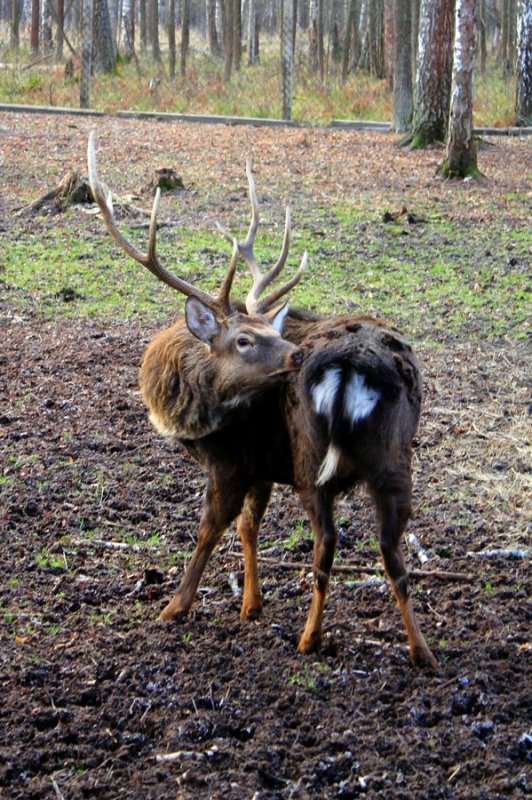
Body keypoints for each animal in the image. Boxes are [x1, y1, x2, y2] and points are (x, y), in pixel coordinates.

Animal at [86, 134, 436, 672]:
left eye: (269, 330)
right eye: (246, 339)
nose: (296, 354)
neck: (187, 416)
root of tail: (354, 363)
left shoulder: (234, 458)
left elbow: (211, 526)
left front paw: (175, 606)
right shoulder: (264, 464)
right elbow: (250, 525)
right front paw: (252, 604)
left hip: (313, 457)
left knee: (327, 541)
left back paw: (310, 637)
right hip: (394, 455)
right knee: (392, 550)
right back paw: (422, 652)